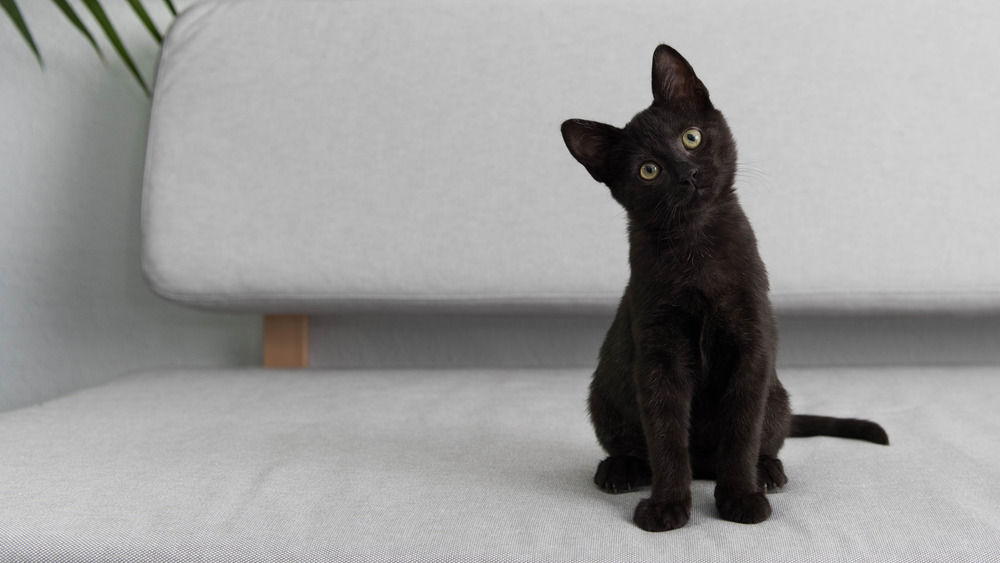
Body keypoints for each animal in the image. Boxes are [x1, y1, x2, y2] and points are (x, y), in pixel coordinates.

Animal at [564, 45, 892, 532]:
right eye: (648, 170)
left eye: (691, 137)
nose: (687, 173)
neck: (698, 252)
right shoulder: (659, 355)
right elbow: (665, 435)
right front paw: (667, 506)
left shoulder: (751, 344)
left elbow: (741, 430)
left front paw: (740, 497)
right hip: (604, 394)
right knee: (631, 443)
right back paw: (621, 469)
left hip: (776, 396)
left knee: (765, 438)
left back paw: (767, 471)